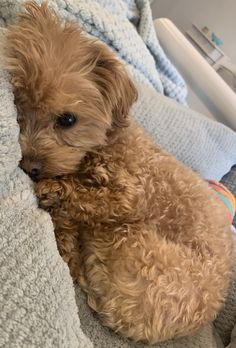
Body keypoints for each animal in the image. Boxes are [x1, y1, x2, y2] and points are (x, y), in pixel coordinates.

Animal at [5, 2, 232, 346]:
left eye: (67, 119)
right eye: (18, 108)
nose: (29, 166)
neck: (106, 144)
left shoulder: (131, 196)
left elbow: (85, 198)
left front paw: (55, 191)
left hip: (128, 238)